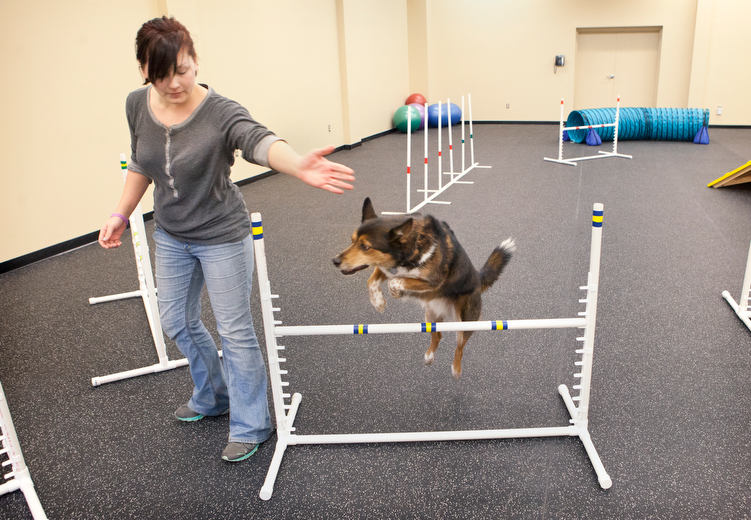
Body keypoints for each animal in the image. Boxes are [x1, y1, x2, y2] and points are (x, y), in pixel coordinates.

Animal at [334, 198, 516, 378]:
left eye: (365, 246)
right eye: (352, 240)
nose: (335, 261)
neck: (414, 245)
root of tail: (478, 278)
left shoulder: (432, 282)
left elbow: (396, 282)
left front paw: (394, 293)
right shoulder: (388, 269)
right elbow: (372, 281)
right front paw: (378, 302)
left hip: (465, 322)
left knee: (460, 346)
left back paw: (456, 369)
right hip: (430, 317)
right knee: (437, 335)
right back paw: (429, 356)